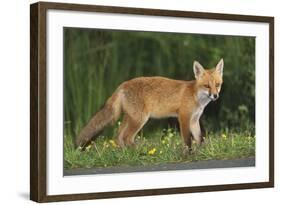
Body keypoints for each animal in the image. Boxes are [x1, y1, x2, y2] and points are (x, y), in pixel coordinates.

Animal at [75, 58, 223, 151]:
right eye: (206, 86)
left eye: (217, 85)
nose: (215, 96)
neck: (195, 96)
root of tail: (123, 84)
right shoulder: (184, 118)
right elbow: (187, 140)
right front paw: (189, 155)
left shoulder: (194, 119)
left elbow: (199, 138)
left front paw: (201, 152)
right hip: (140, 119)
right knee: (127, 137)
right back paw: (139, 152)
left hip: (130, 118)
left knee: (119, 136)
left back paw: (124, 154)